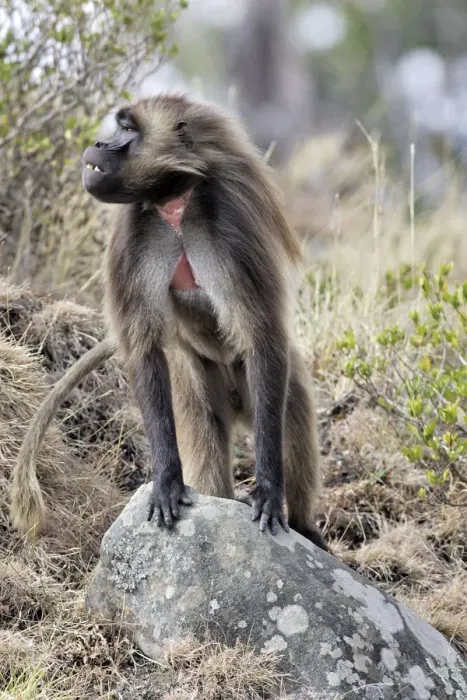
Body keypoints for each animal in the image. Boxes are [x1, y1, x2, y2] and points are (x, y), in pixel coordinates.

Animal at [11, 93, 327, 551]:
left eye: (128, 130)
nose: (99, 144)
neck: (175, 204)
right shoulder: (134, 235)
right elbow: (145, 350)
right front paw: (166, 480)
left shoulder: (233, 224)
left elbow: (261, 336)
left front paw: (268, 489)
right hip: (194, 380)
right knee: (207, 436)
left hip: (268, 381)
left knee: (291, 417)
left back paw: (302, 524)